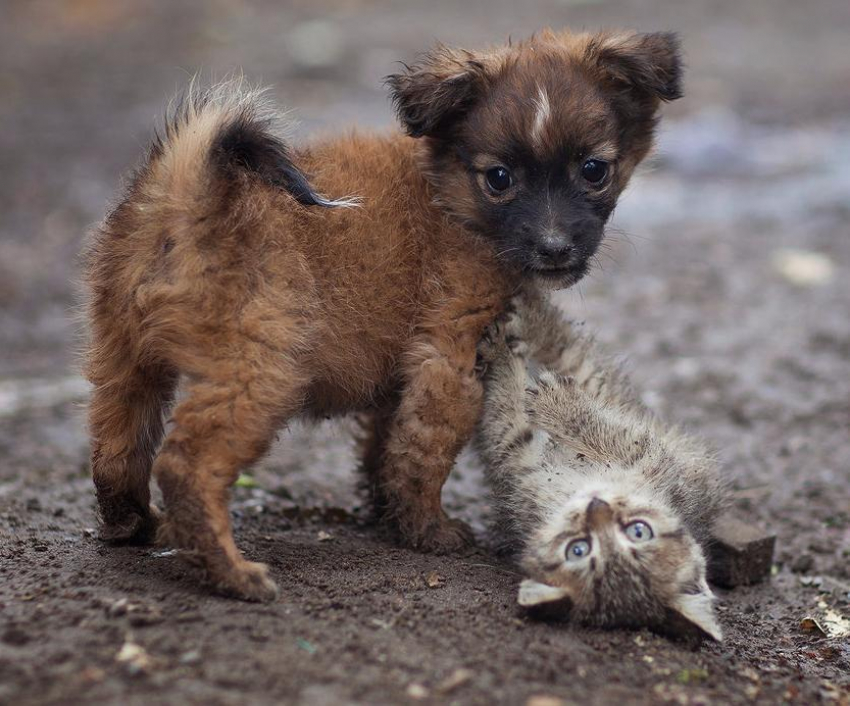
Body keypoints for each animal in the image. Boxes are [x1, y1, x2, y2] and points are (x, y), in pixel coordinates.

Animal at [84, 28, 684, 600]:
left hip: (123, 359)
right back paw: (231, 573)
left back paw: (131, 525)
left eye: (593, 170)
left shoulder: (403, 375)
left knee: (116, 449)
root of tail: (186, 198)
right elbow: (425, 452)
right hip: (258, 373)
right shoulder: (449, 358)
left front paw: (389, 516)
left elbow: (389, 447)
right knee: (185, 467)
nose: (555, 248)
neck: (450, 196)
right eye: (499, 178)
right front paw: (429, 531)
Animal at [476, 288, 728, 640]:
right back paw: (530, 309)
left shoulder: (520, 459)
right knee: (569, 349)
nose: (598, 508)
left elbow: (515, 411)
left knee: (575, 354)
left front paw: (505, 357)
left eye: (578, 550)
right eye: (640, 530)